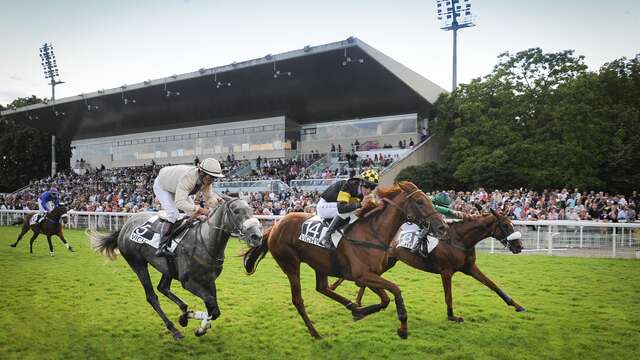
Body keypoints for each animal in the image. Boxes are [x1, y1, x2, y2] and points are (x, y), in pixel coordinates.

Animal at [89, 195, 262, 338]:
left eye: (251, 210)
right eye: (236, 211)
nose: (257, 236)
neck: (206, 242)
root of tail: (125, 225)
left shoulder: (209, 280)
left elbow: (214, 308)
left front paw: (194, 322)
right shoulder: (189, 282)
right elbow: (212, 306)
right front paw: (195, 323)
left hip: (167, 267)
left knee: (163, 287)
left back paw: (185, 311)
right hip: (137, 263)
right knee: (152, 296)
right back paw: (174, 328)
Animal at [242, 181, 448, 338]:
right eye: (420, 202)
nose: (443, 227)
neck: (371, 233)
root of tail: (274, 228)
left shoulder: (368, 275)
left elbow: (385, 299)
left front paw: (360, 311)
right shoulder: (361, 275)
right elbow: (395, 290)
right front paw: (403, 327)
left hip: (320, 263)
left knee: (323, 288)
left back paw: (353, 309)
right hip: (290, 264)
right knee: (298, 300)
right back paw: (315, 333)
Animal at [332, 208, 524, 324]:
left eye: (512, 223)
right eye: (505, 225)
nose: (519, 246)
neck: (459, 239)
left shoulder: (469, 268)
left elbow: (493, 285)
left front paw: (516, 305)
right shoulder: (446, 271)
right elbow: (448, 296)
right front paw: (452, 316)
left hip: (387, 262)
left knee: (365, 280)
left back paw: (358, 304)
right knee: (364, 279)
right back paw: (357, 305)